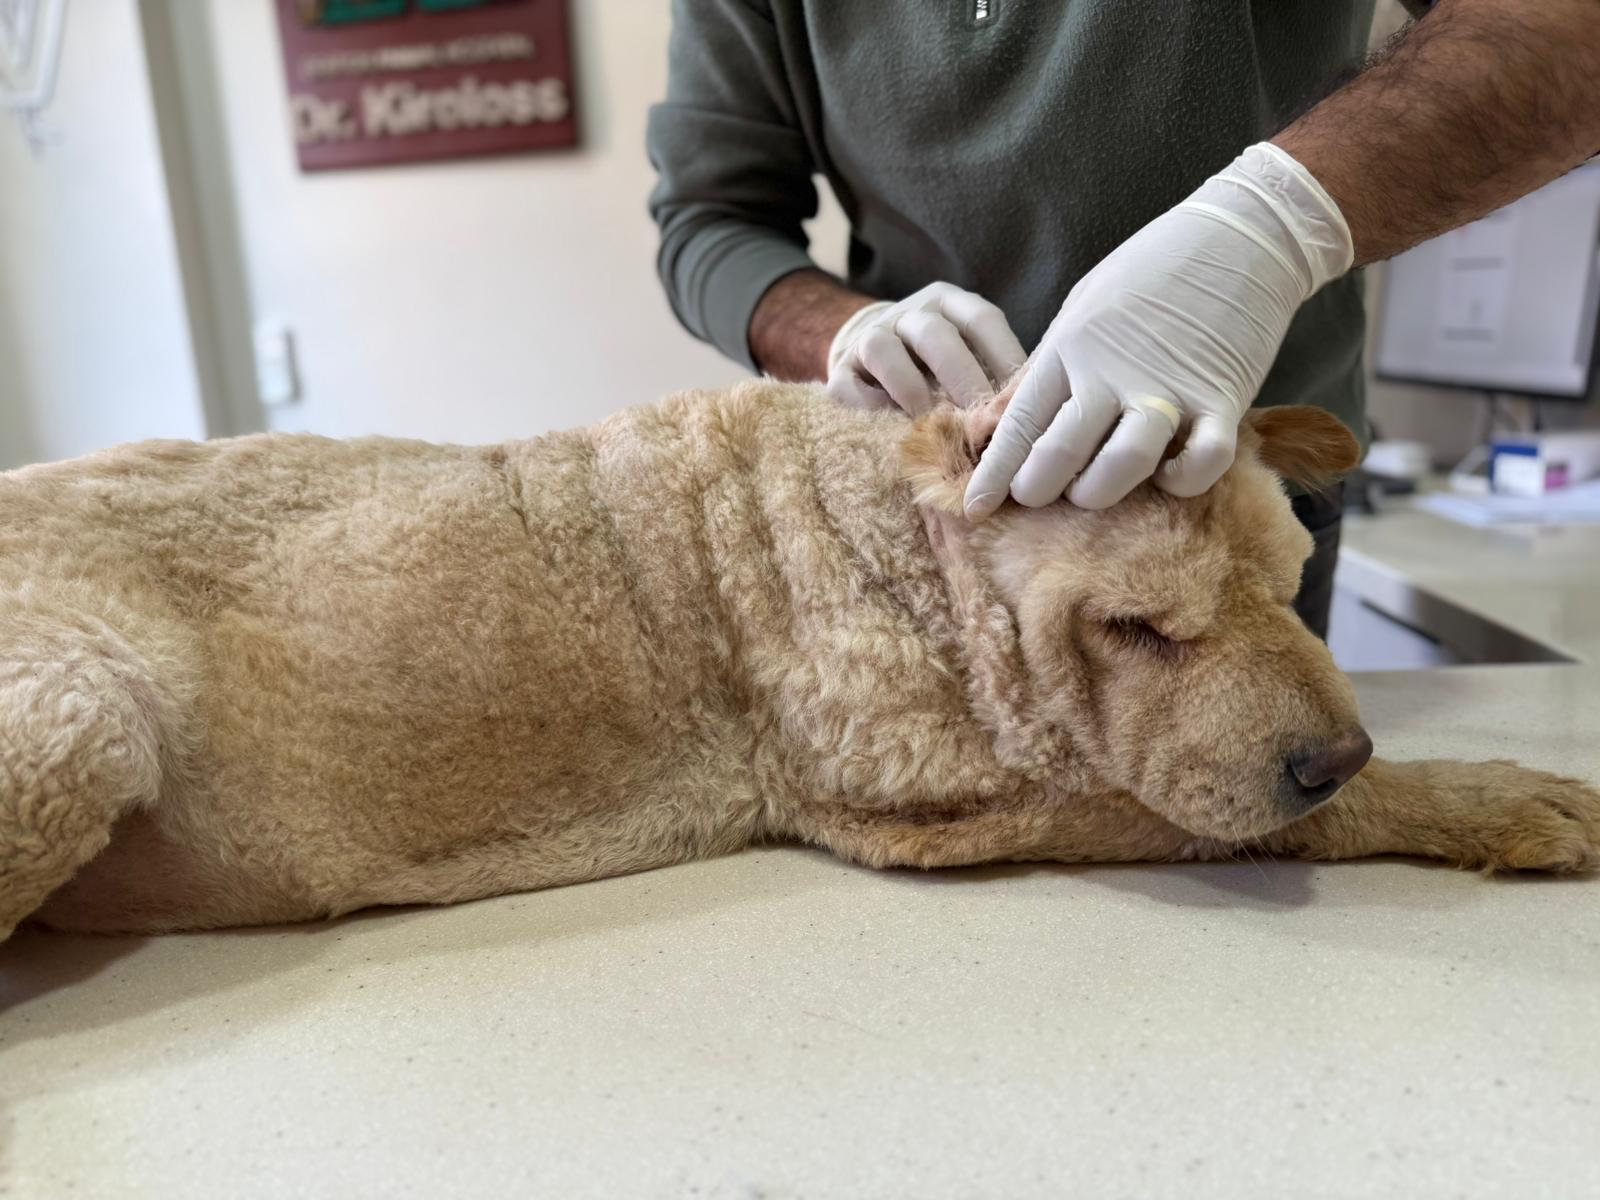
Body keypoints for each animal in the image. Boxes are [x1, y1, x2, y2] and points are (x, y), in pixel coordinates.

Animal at [2, 381, 1596, 940]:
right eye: (1138, 629)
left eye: (1288, 582)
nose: (1334, 745)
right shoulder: (932, 811)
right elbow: (1246, 814)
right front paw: (1499, 795)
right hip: (71, 728)